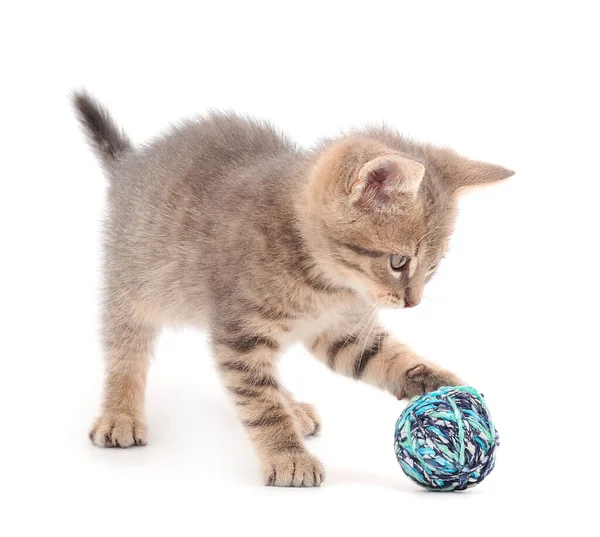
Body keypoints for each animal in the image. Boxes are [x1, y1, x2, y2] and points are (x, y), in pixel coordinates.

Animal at [72, 91, 512, 486]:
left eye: (433, 268)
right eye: (399, 262)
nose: (412, 303)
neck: (325, 282)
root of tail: (131, 163)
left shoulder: (341, 332)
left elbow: (388, 358)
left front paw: (443, 383)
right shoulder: (240, 336)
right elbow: (259, 402)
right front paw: (287, 457)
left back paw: (293, 407)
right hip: (132, 284)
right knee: (125, 350)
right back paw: (120, 414)